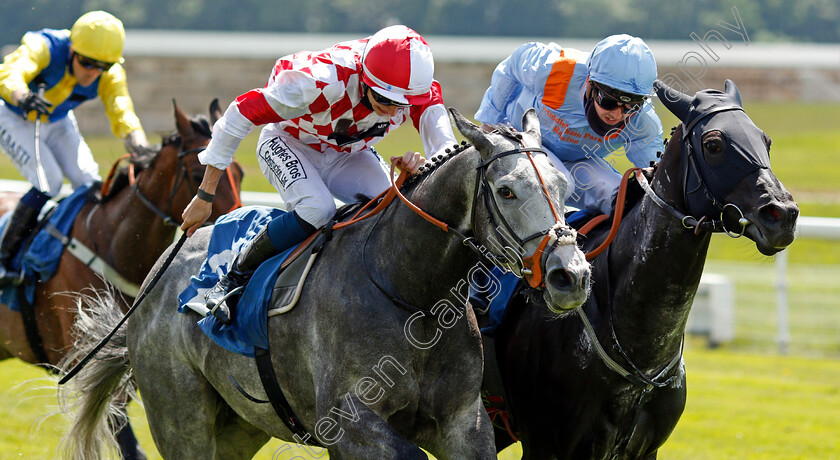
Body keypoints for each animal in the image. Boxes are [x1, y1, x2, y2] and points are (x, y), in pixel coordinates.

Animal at [59, 108, 588, 460]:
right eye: (506, 190)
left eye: (565, 188)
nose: (572, 275)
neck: (411, 294)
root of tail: (155, 278)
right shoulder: (353, 425)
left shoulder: (464, 425)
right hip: (182, 421)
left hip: (237, 426)